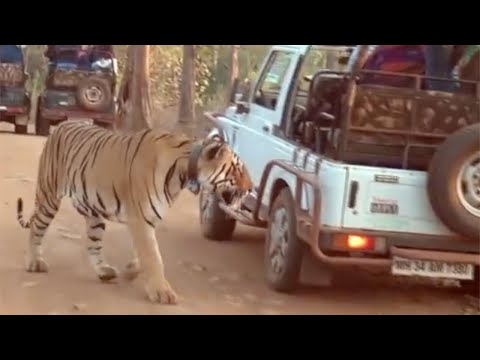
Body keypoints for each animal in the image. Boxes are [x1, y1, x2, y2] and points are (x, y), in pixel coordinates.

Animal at [16, 121, 253, 304]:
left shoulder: (147, 219)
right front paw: (162, 292)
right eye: (237, 169)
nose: (251, 188)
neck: (184, 173)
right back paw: (34, 262)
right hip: (48, 196)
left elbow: (146, 255)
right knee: (36, 228)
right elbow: (153, 256)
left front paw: (130, 271)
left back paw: (104, 271)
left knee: (92, 244)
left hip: (93, 213)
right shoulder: (140, 218)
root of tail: (60, 125)